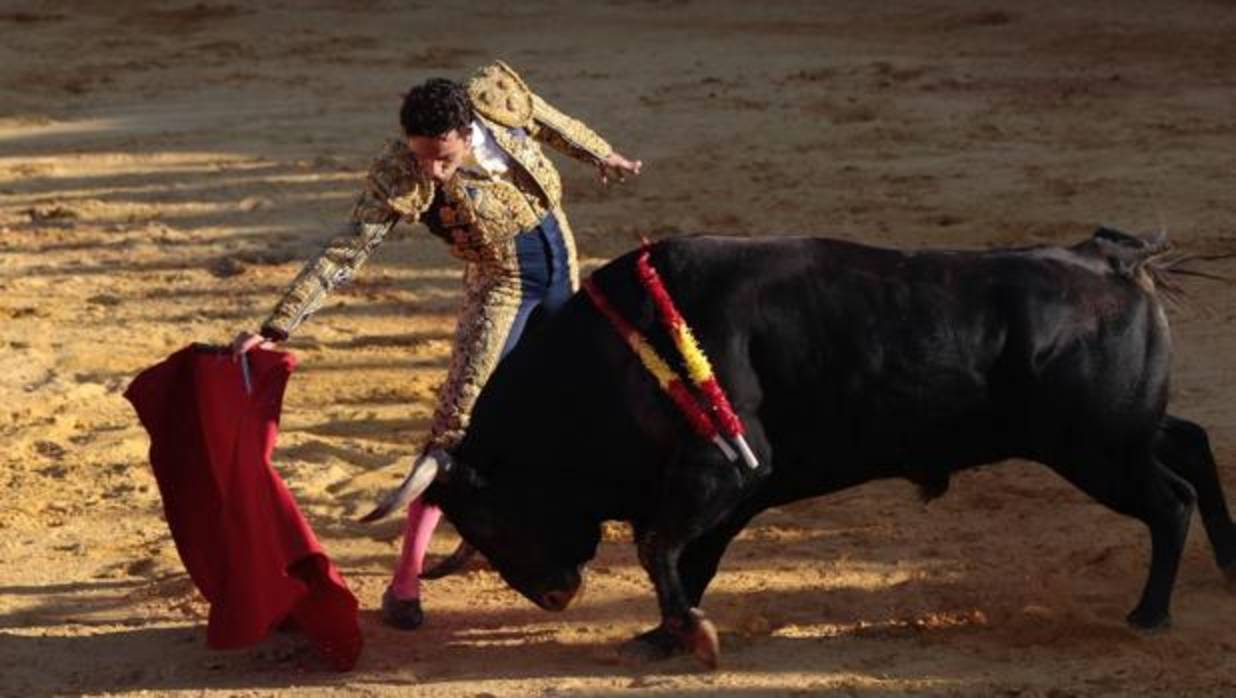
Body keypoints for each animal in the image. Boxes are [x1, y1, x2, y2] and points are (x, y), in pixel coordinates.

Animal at [360, 227, 1231, 662]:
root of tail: (1113, 258)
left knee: (1169, 501)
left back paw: (1150, 614)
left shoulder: (719, 474)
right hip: (1123, 435)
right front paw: (668, 633)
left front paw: (687, 635)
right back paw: (1225, 566)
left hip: (1096, 449)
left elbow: (658, 546)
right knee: (1190, 444)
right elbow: (687, 557)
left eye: (488, 514)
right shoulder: (734, 490)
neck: (621, 354)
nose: (554, 595)